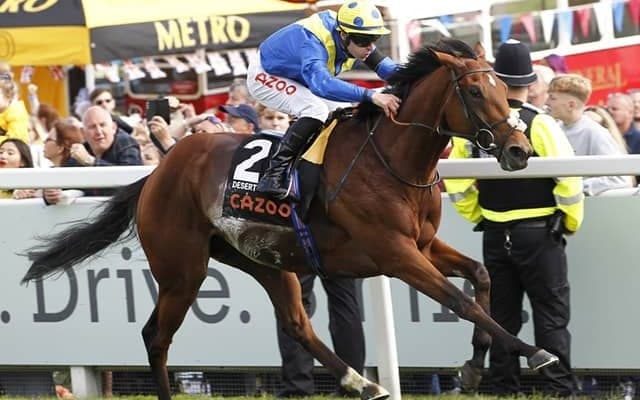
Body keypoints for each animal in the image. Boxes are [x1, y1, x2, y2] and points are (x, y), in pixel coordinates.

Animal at [22, 39, 557, 400]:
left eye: (503, 88)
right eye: (475, 90)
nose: (518, 149)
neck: (392, 158)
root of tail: (158, 172)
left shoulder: (423, 246)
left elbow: (481, 276)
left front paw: (473, 366)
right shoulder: (395, 253)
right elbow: (458, 299)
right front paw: (535, 352)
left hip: (264, 259)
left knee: (298, 324)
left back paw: (361, 381)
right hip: (182, 271)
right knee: (156, 336)